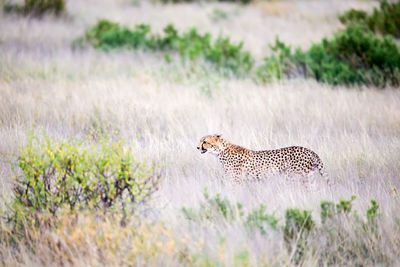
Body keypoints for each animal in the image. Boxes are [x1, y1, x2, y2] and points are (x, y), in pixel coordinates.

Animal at [196, 135, 328, 185]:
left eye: (205, 142)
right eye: (200, 141)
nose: (197, 147)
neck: (221, 151)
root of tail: (309, 150)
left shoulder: (236, 180)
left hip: (294, 177)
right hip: (309, 178)